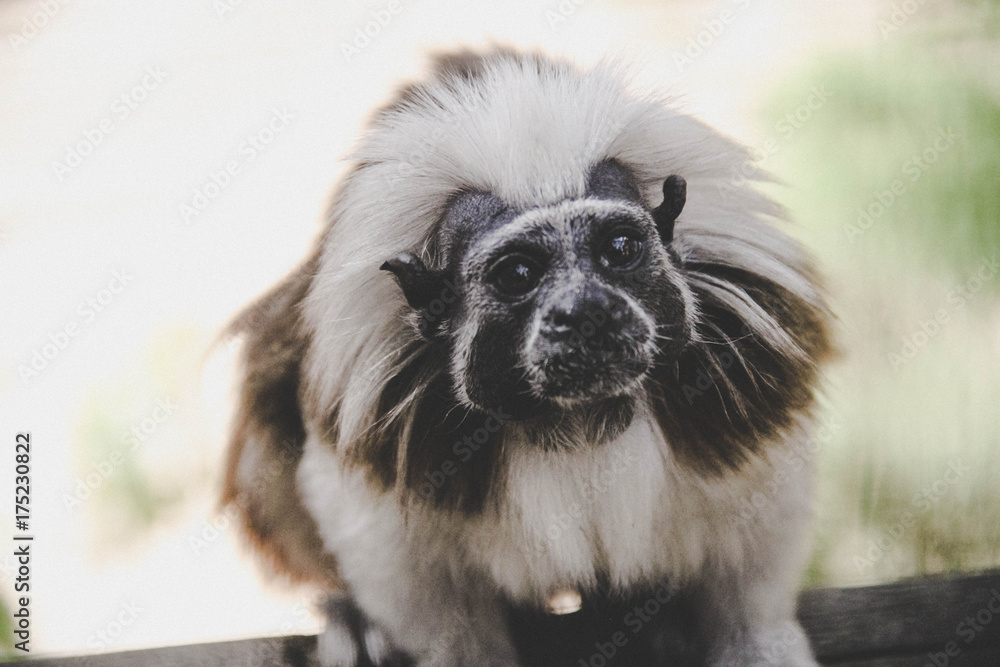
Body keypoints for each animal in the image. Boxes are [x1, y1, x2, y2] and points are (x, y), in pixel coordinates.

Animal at [222, 48, 832, 667]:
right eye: (519, 274)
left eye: (619, 249)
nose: (587, 312)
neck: (579, 419)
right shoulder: (384, 438)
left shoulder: (745, 392)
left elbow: (754, 571)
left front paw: (757, 639)